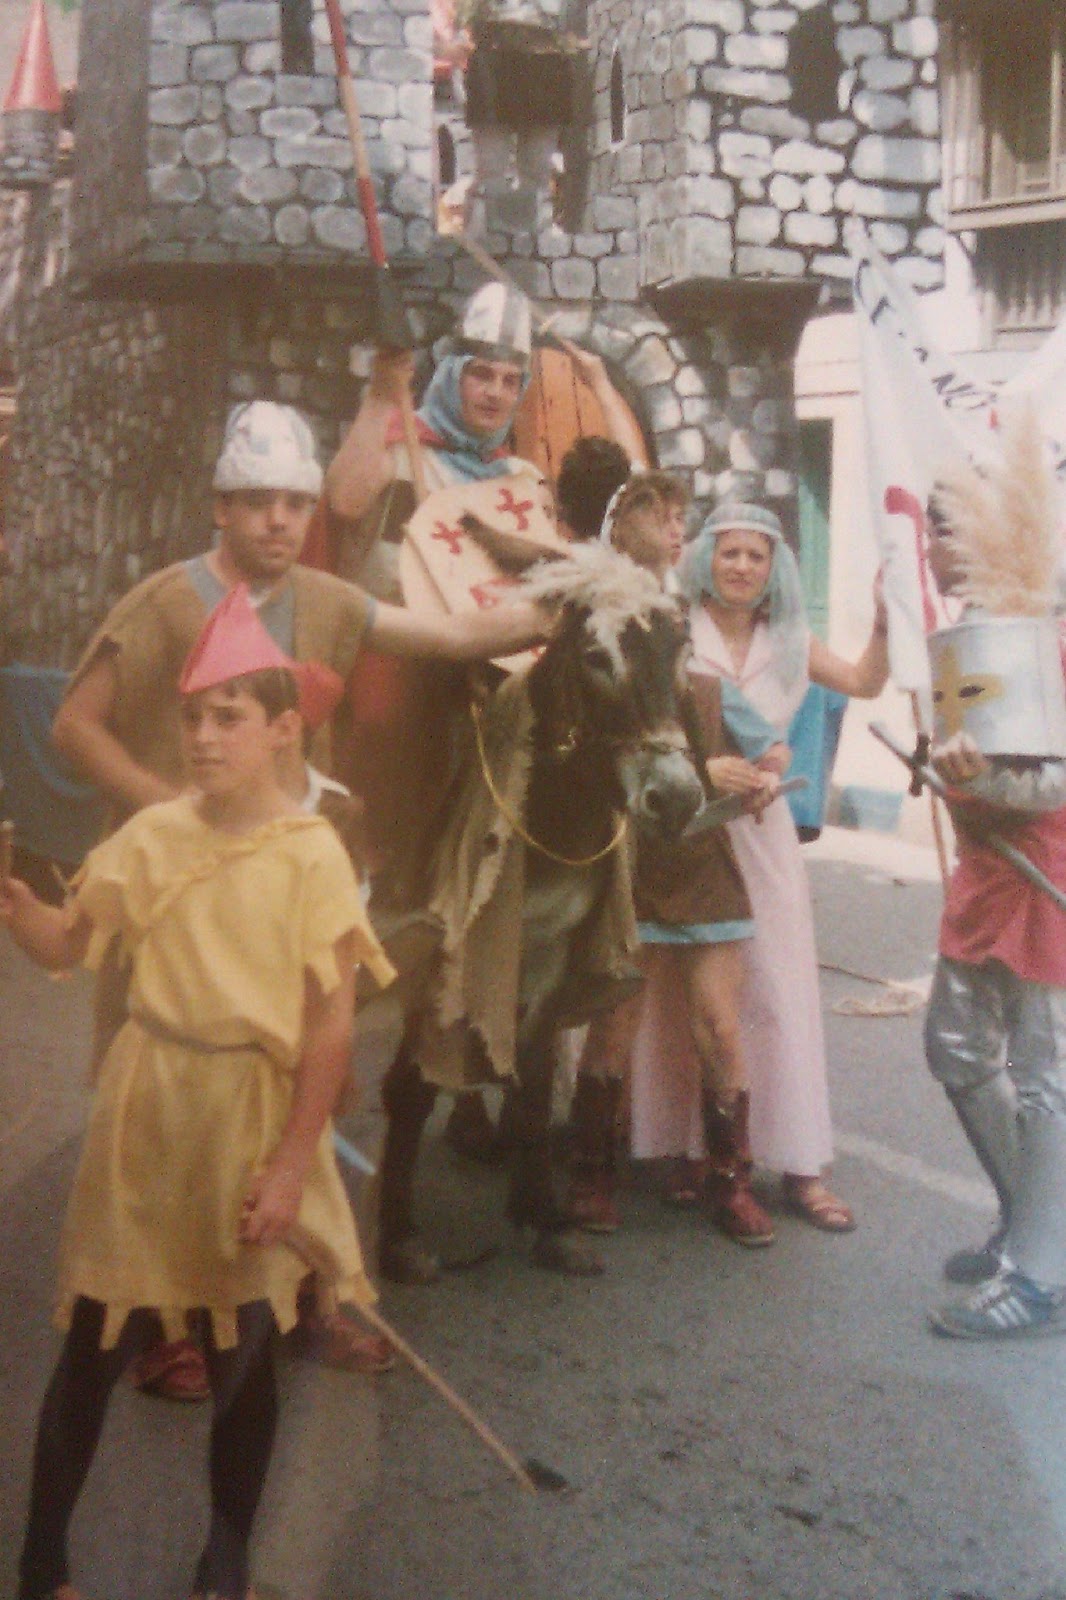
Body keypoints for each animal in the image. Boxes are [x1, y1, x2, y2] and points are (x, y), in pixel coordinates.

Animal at [377, 543, 705, 1280]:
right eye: (595, 656)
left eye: (683, 648)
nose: (675, 800)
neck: (554, 804)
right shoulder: (438, 943)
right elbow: (410, 1090)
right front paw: (399, 1238)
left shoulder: (551, 952)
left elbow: (531, 1090)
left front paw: (545, 1219)